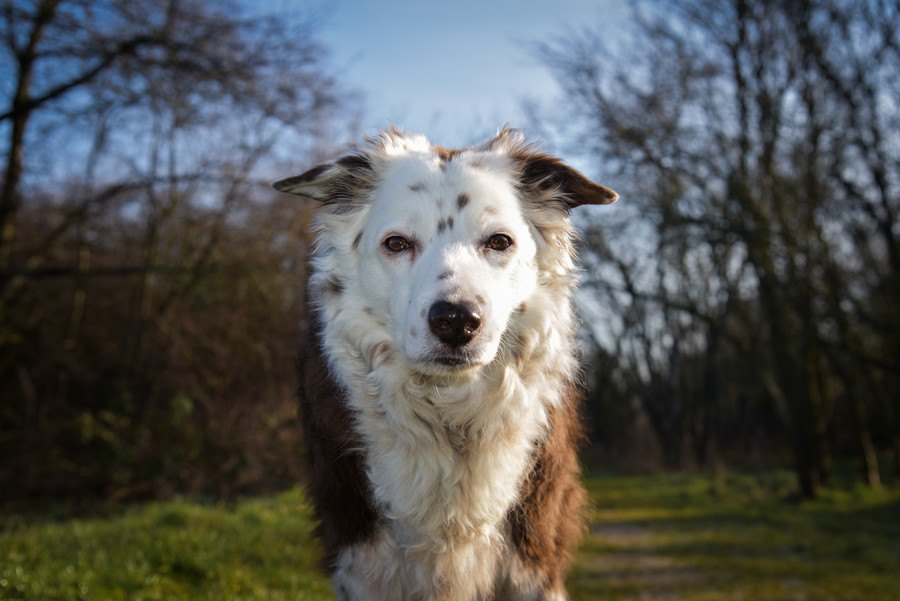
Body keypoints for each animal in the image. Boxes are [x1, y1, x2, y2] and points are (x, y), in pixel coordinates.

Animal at [270, 127, 616, 600]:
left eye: (499, 241)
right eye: (397, 243)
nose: (455, 321)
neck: (449, 416)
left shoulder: (533, 556)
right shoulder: (362, 555)